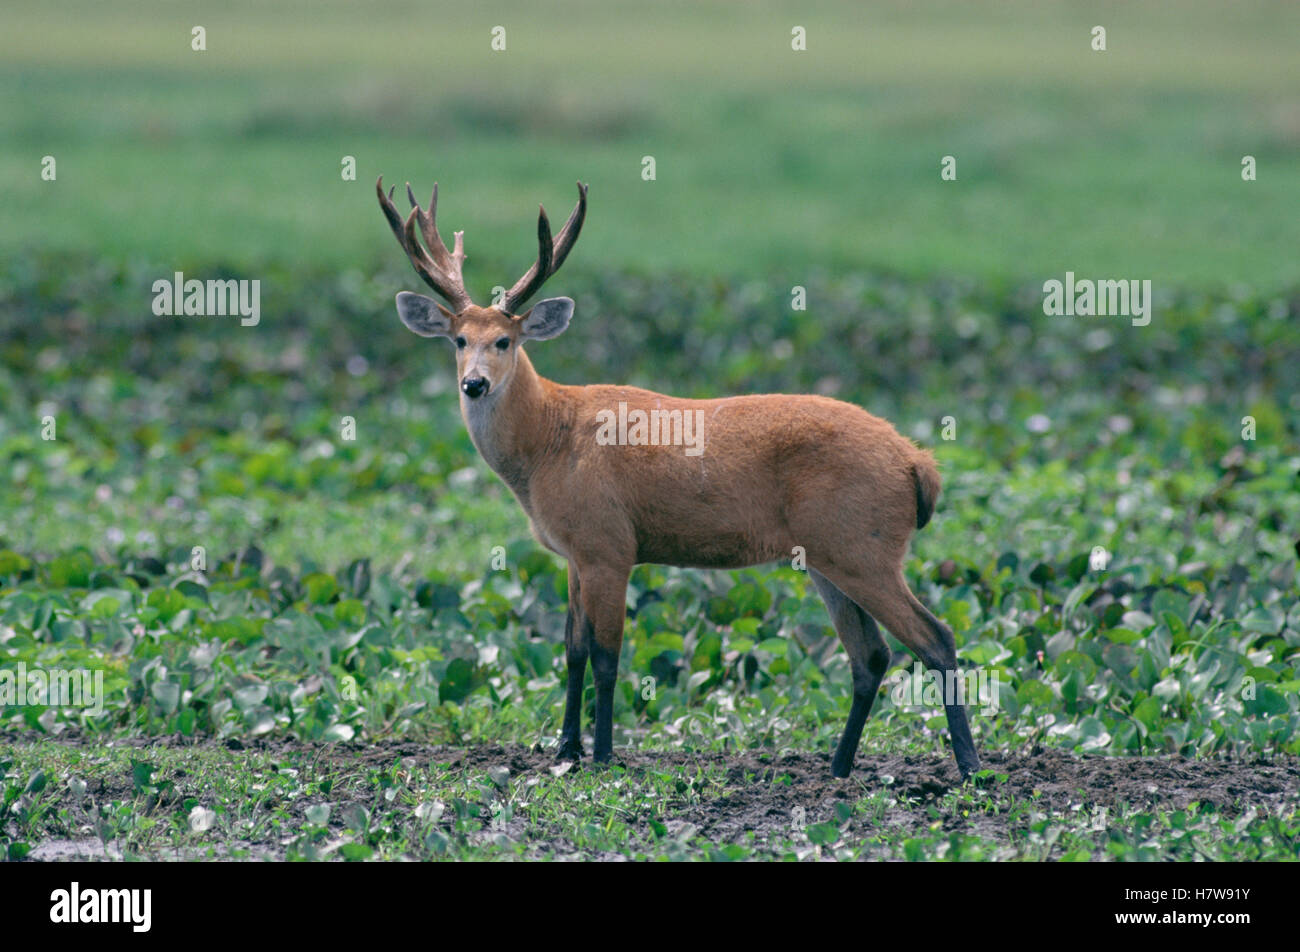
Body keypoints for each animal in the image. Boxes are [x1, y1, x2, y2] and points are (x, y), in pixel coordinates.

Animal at [376, 176, 980, 780]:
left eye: (505, 340)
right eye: (459, 340)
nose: (474, 384)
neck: (548, 441)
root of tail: (919, 464)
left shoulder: (609, 544)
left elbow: (607, 655)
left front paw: (602, 755)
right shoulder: (574, 552)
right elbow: (571, 650)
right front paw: (565, 750)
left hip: (864, 547)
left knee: (935, 637)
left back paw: (970, 768)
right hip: (830, 555)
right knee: (871, 655)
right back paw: (837, 767)